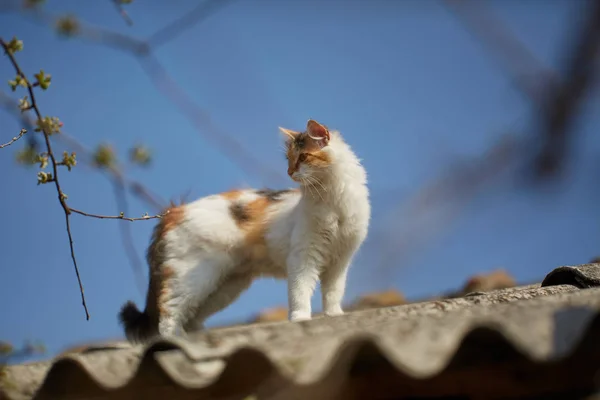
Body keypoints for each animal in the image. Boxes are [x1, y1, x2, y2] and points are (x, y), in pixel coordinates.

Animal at [118, 119, 370, 344]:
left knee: (190, 317)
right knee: (168, 312)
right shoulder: (303, 257)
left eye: (303, 157)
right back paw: (175, 341)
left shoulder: (340, 261)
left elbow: (333, 292)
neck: (332, 202)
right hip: (193, 277)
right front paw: (300, 319)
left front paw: (334, 315)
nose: (289, 172)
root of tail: (174, 210)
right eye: (289, 160)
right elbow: (300, 291)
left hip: (223, 287)